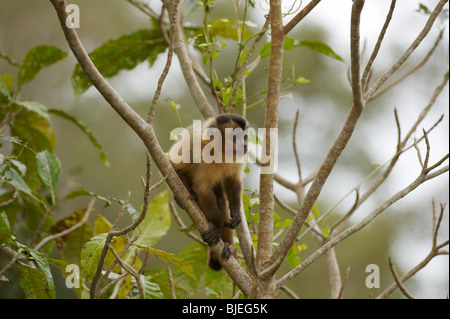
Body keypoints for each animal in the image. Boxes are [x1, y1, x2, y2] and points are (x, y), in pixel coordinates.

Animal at [168, 114, 248, 272]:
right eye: (235, 137)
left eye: (245, 137)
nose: (245, 145)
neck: (220, 151)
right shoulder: (199, 151)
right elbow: (202, 190)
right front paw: (217, 226)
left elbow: (233, 182)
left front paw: (236, 215)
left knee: (220, 199)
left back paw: (228, 246)